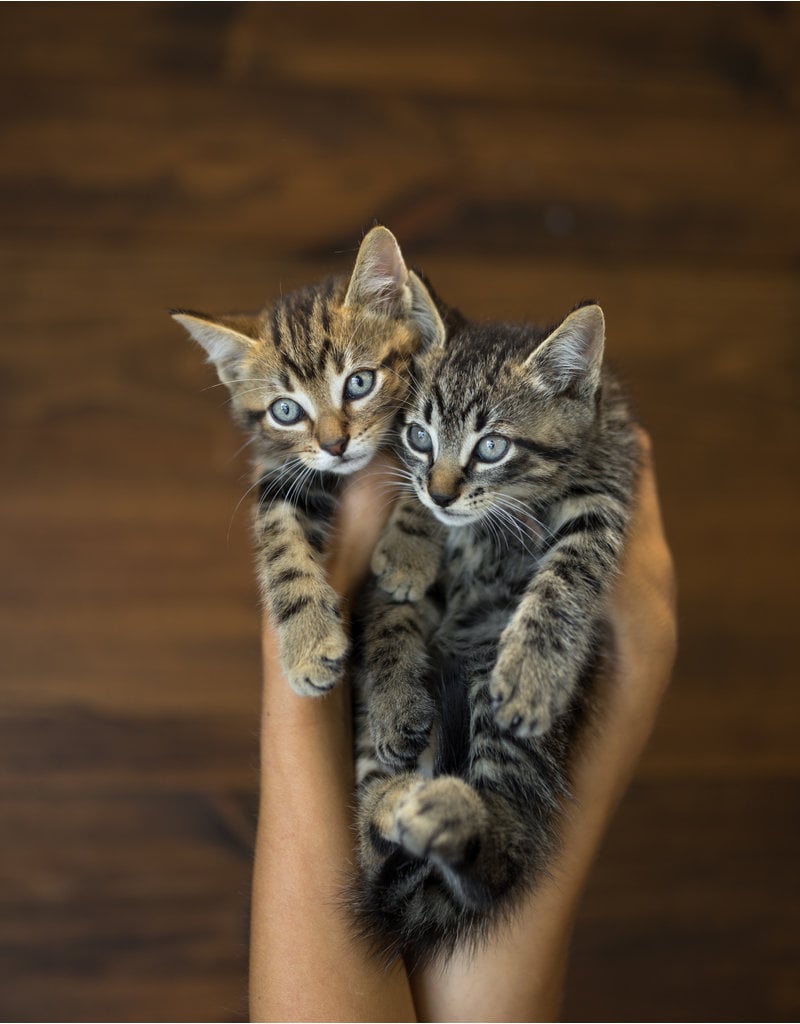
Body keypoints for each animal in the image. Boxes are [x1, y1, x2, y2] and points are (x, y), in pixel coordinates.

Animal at [172, 227, 442, 696]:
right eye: (285, 411)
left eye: (359, 383)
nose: (335, 445)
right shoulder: (281, 471)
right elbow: (280, 543)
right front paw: (308, 642)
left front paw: (408, 553)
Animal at [352, 299, 639, 966]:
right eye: (419, 437)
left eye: (492, 447)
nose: (440, 493)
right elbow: (392, 612)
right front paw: (394, 701)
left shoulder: (605, 485)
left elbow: (570, 573)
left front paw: (533, 675)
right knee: (378, 855)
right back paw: (392, 803)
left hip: (496, 718)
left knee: (503, 858)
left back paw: (450, 814)